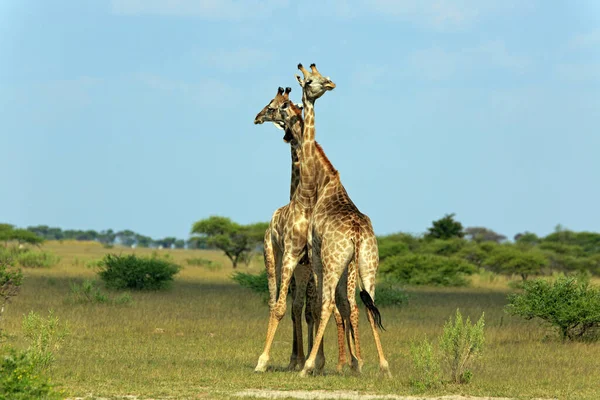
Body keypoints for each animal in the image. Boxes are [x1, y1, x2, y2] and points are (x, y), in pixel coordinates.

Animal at [252, 86, 346, 372]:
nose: (256, 117)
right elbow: (285, 307)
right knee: (275, 301)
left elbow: (311, 308)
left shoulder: (308, 261)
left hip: (301, 268)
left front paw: (315, 361)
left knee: (297, 306)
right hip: (273, 256)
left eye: (272, 106)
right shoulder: (292, 256)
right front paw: (277, 360)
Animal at [292, 63, 394, 378]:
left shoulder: (314, 252)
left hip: (334, 262)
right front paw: (355, 362)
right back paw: (385, 366)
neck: (323, 181)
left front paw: (320, 363)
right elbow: (348, 307)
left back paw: (307, 367)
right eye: (311, 80)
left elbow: (322, 305)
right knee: (370, 304)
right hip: (369, 263)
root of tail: (359, 234)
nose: (330, 84)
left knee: (328, 304)